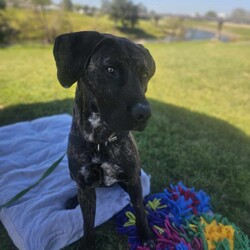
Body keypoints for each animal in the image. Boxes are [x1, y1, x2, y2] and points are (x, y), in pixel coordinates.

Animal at [53, 31, 155, 250]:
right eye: (110, 69)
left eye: (144, 74)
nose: (145, 114)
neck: (100, 141)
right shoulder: (85, 185)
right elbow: (87, 224)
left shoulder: (133, 179)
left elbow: (140, 210)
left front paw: (146, 235)